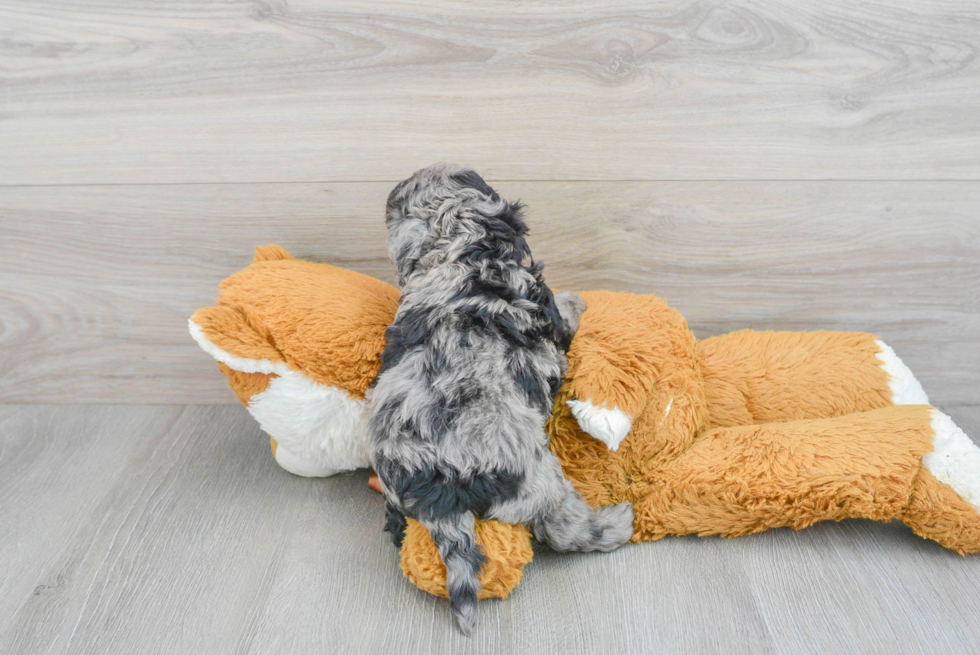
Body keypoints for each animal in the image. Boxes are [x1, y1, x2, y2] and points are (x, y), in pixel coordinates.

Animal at [368, 164, 636, 636]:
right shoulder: (544, 310)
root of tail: (439, 487)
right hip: (539, 477)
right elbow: (564, 310)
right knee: (562, 527)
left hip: (397, 495)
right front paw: (578, 300)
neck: (457, 246)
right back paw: (615, 524)